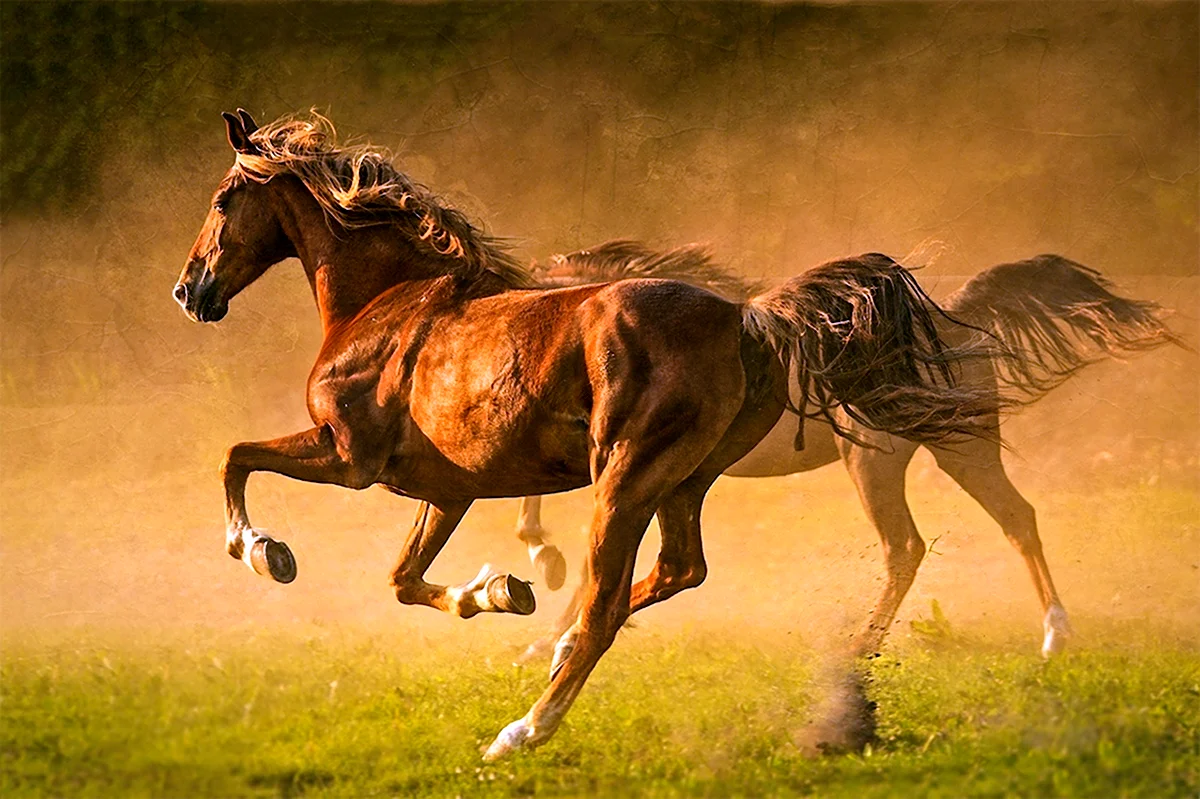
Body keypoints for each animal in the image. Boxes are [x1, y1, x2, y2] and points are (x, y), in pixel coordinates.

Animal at [177, 109, 998, 758]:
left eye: (223, 198)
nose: (190, 291)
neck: (386, 301)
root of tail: (746, 317)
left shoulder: (348, 455)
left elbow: (231, 457)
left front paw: (265, 552)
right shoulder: (447, 490)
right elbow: (405, 580)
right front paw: (500, 591)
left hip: (625, 478)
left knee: (610, 603)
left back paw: (520, 732)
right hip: (685, 480)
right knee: (679, 570)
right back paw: (553, 646)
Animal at [504, 241, 1171, 657]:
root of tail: (948, 319)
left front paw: (549, 613)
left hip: (876, 461)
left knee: (906, 547)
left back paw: (861, 648)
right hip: (964, 446)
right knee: (1018, 518)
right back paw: (1056, 635)